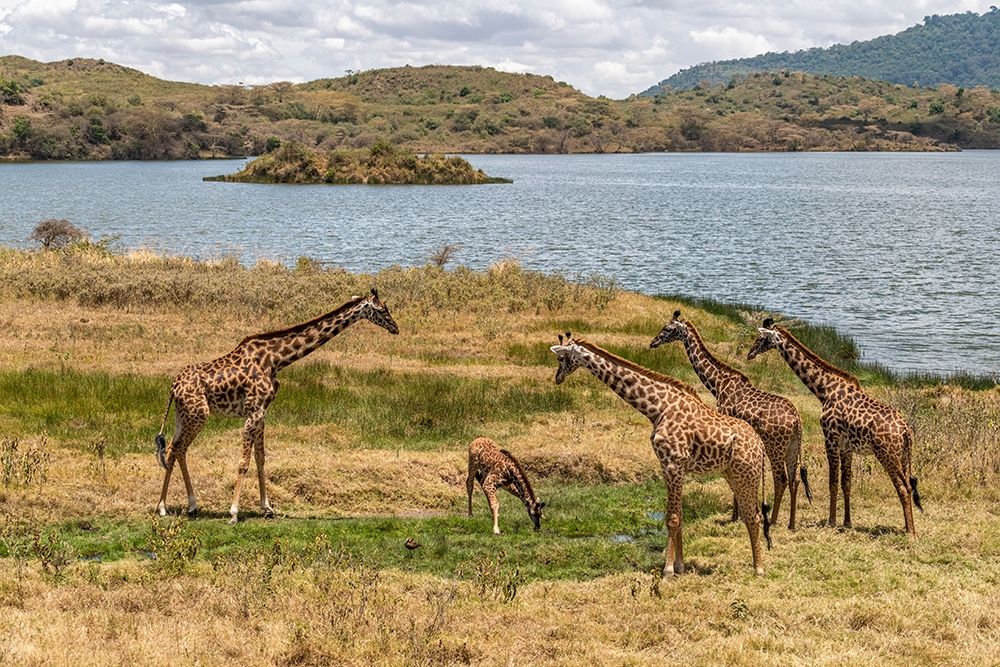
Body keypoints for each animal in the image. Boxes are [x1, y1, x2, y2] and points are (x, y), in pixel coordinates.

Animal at [154, 288, 399, 524]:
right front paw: (234, 513)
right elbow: (244, 462)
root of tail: (173, 387)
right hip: (199, 414)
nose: (395, 328)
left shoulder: (262, 413)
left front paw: (268, 509)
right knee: (179, 448)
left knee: (173, 449)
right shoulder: (253, 411)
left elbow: (261, 459)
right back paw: (173, 506)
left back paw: (175, 506)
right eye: (382, 310)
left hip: (182, 415)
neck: (276, 359)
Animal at [550, 332, 770, 576]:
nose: (557, 378)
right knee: (750, 514)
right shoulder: (668, 466)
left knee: (753, 516)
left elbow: (672, 518)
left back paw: (759, 569)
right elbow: (679, 516)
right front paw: (681, 566)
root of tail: (760, 445)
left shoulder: (674, 463)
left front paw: (667, 569)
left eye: (561, 358)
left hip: (746, 474)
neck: (656, 409)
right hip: (731, 474)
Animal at [650, 310, 811, 529]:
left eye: (667, 329)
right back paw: (791, 524)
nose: (653, 343)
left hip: (775, 446)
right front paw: (738, 515)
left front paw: (735, 516)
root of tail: (797, 421)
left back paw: (774, 520)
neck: (717, 383)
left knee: (782, 479)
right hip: (793, 446)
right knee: (794, 480)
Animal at [747, 318, 922, 535]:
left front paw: (831, 521)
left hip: (887, 455)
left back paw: (911, 532)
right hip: (904, 456)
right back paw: (908, 526)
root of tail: (906, 431)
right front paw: (847, 522)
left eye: (760, 338)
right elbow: (846, 483)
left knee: (903, 488)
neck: (824, 390)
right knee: (908, 486)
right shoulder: (847, 446)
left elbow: (833, 482)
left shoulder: (830, 438)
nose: (750, 354)